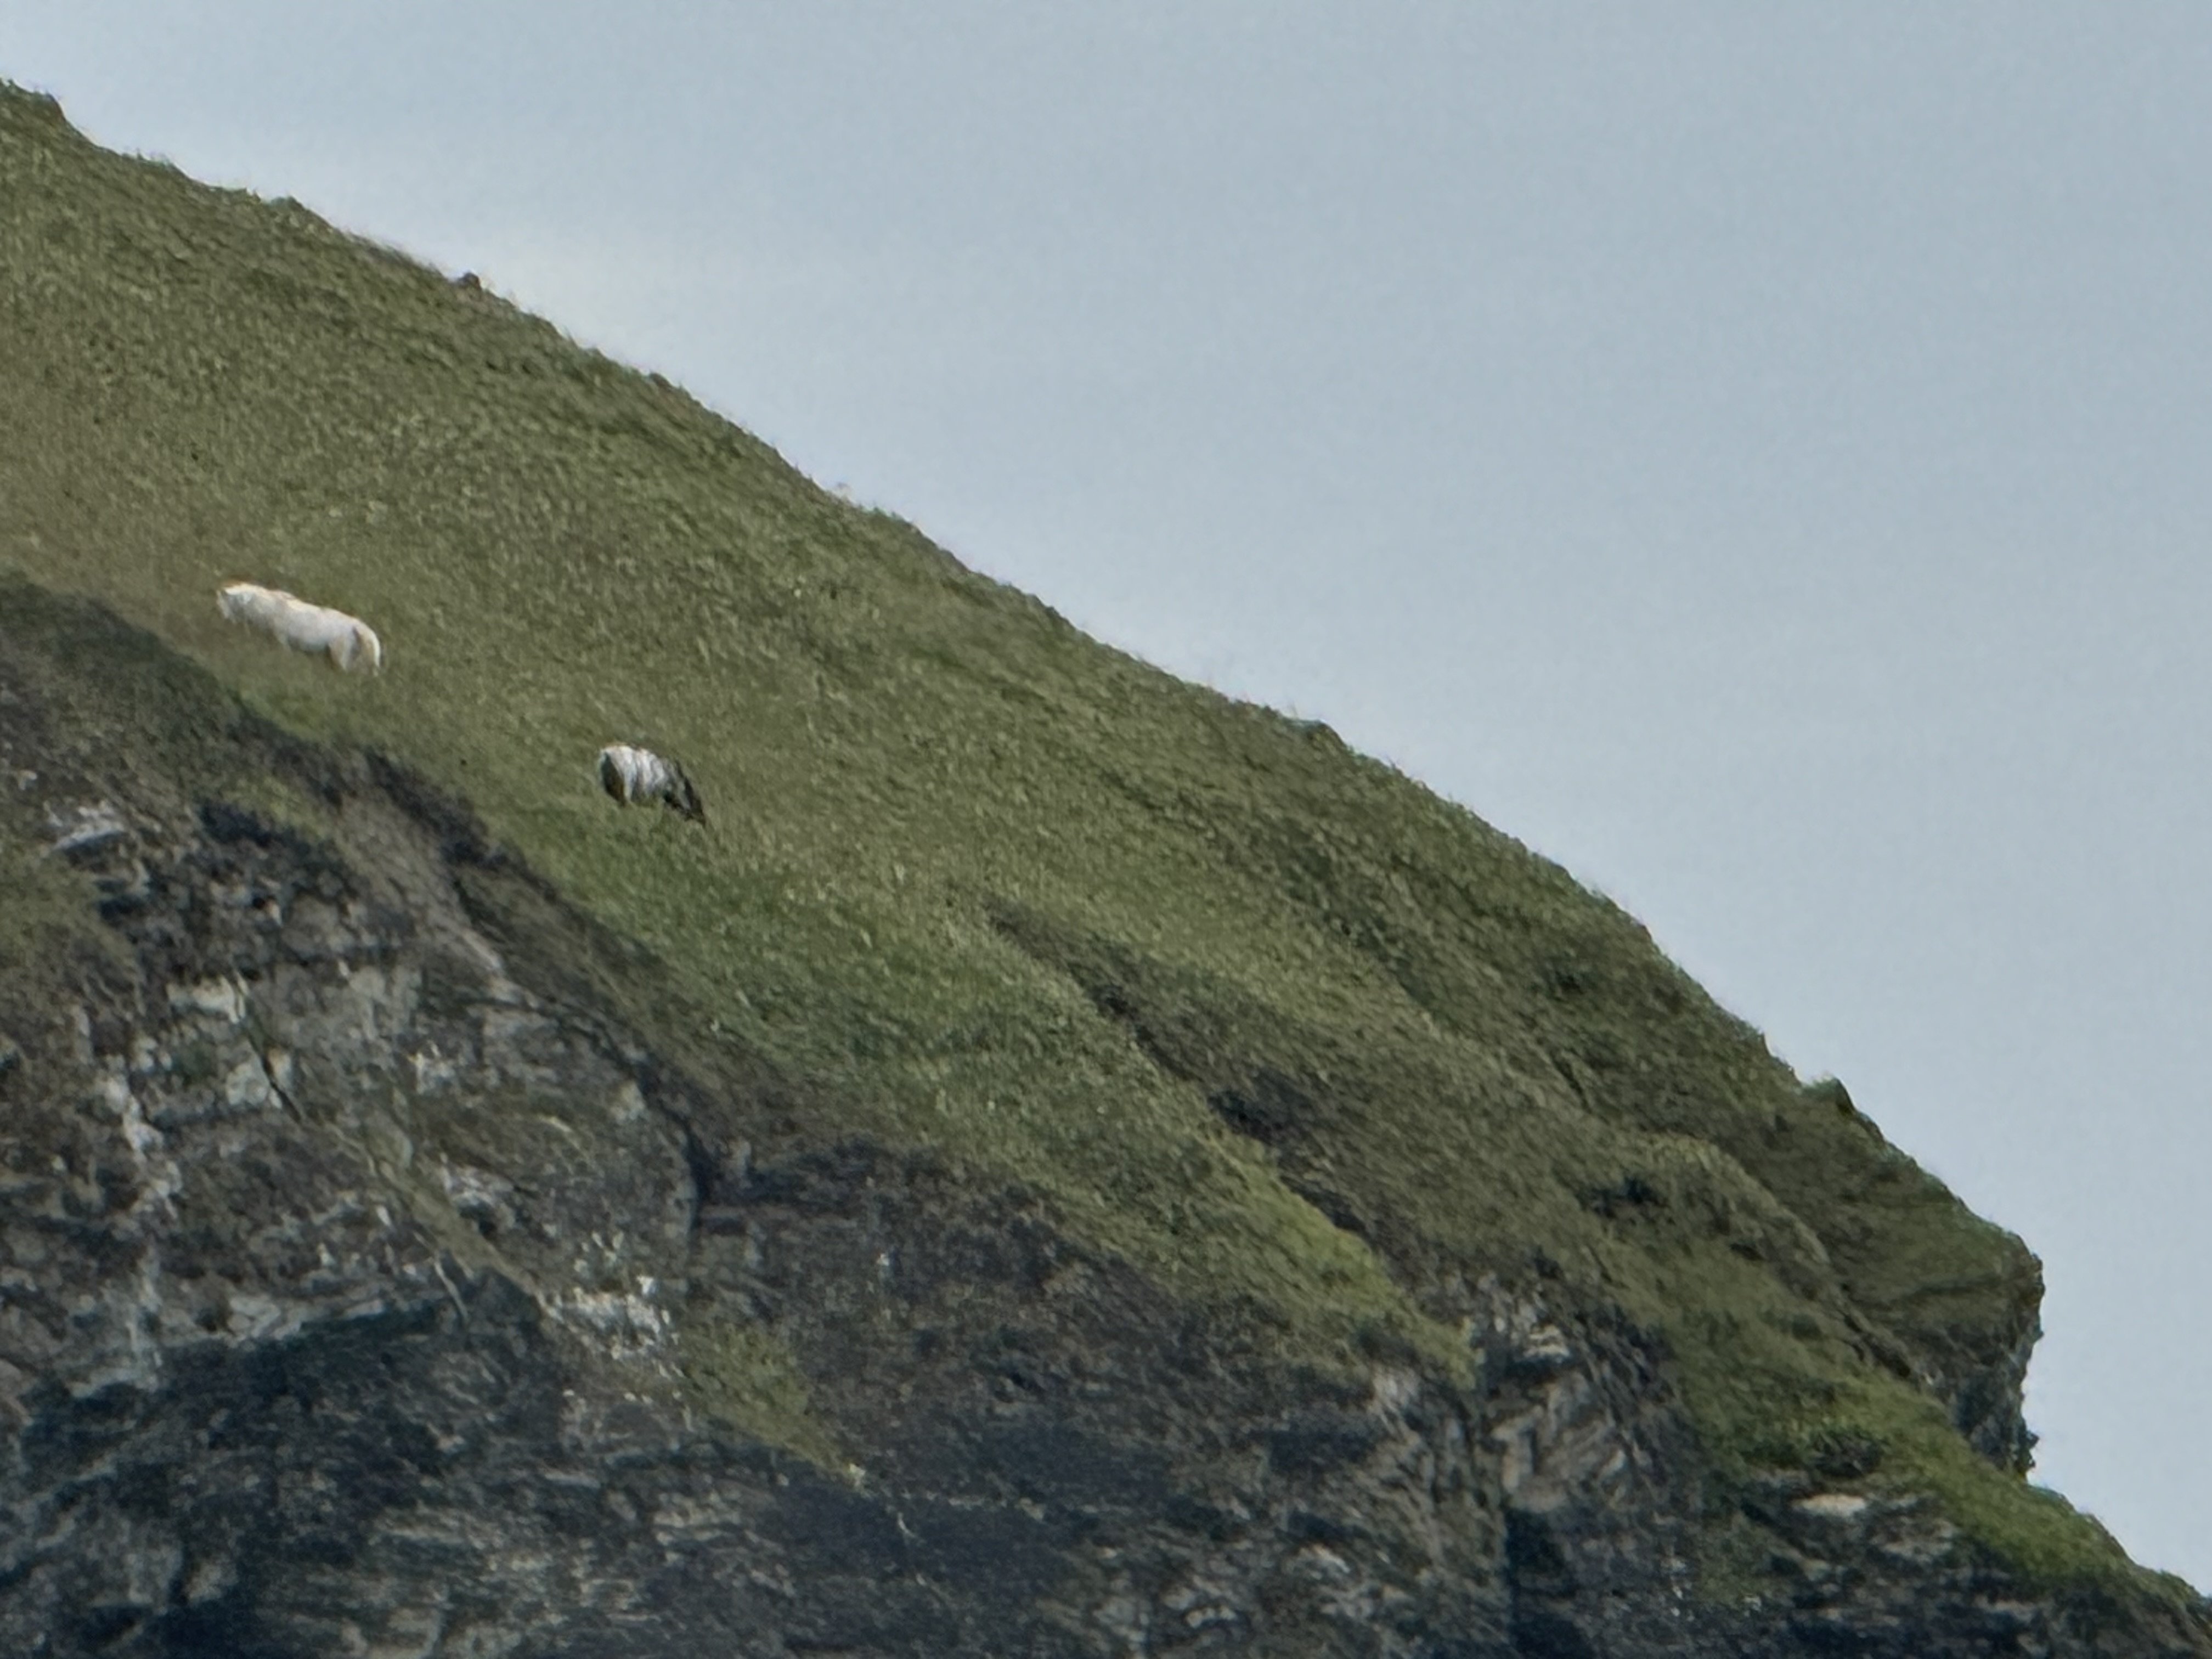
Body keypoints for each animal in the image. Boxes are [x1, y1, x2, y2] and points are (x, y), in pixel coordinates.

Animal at [216, 582, 383, 674]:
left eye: (229, 599)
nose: (224, 617)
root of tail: (356, 624)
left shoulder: (281, 637)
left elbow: (285, 653)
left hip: (340, 653)